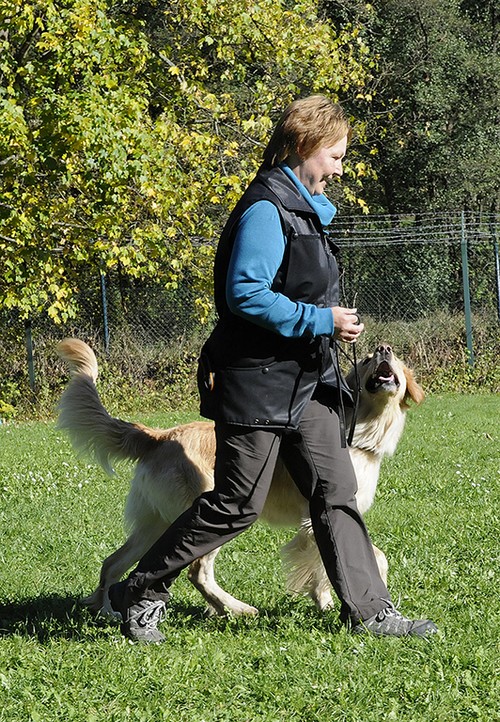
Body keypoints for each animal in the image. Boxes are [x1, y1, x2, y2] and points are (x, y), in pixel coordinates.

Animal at [56, 338, 424, 612]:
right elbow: (370, 558)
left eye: (393, 356)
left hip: (155, 523)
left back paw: (106, 609)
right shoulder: (323, 510)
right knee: (197, 572)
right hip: (218, 513)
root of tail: (162, 435)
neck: (361, 432)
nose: (385, 349)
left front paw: (325, 601)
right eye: (365, 360)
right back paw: (234, 609)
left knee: (113, 564)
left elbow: (328, 564)